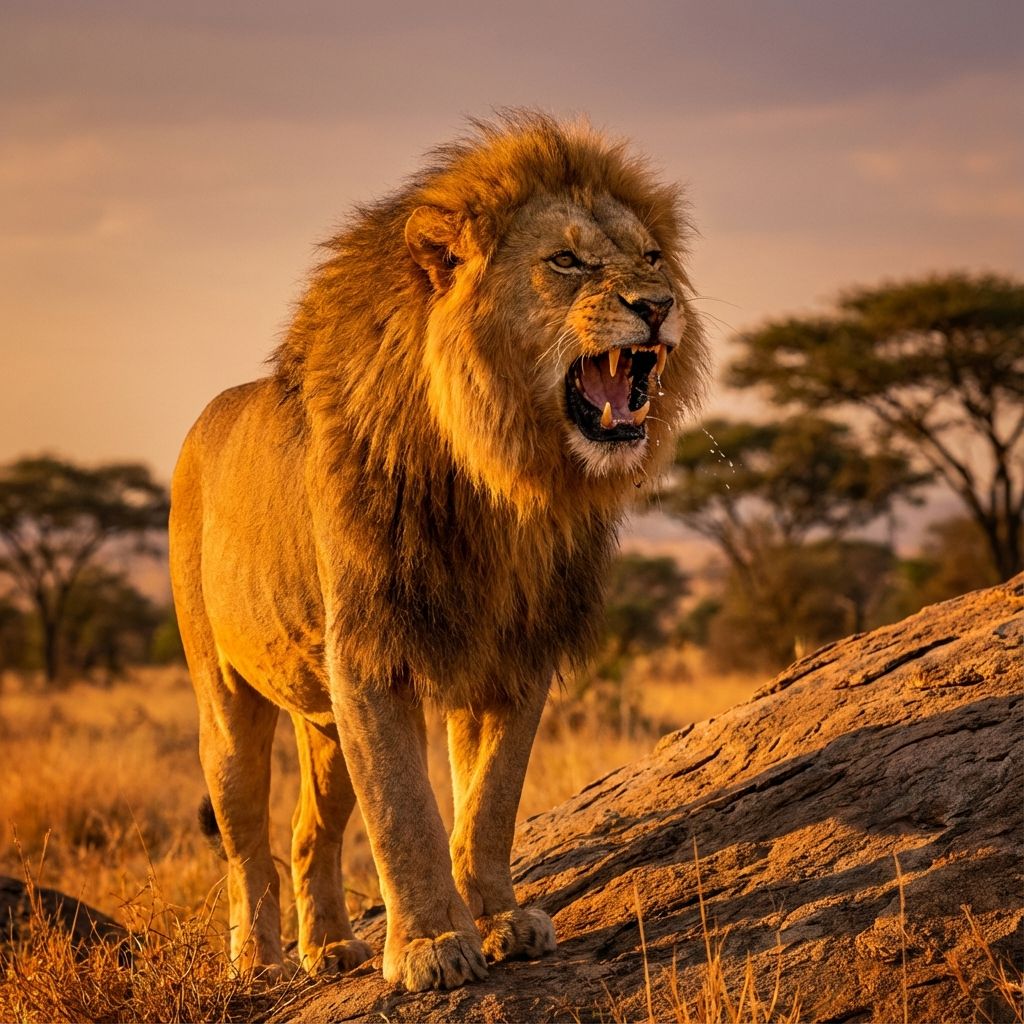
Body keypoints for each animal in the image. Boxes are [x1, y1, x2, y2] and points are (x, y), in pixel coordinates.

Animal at [168, 110, 708, 992]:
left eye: (653, 256)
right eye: (566, 261)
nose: (659, 307)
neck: (504, 481)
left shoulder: (514, 654)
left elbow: (488, 803)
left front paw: (499, 921)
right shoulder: (370, 654)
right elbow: (405, 811)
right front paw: (430, 944)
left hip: (323, 722)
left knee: (311, 830)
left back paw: (331, 948)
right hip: (225, 698)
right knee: (247, 841)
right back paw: (257, 964)